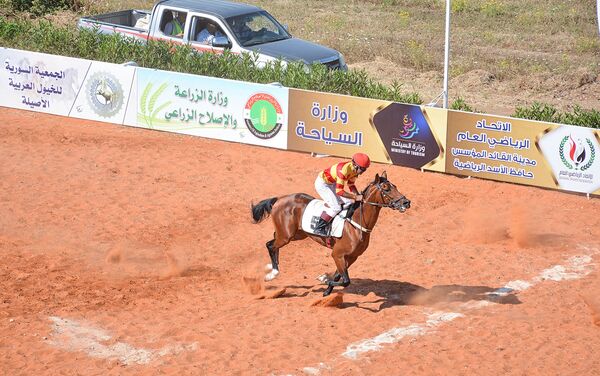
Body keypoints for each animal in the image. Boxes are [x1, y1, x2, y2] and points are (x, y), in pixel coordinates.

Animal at [251, 170, 410, 296]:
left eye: (395, 186)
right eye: (386, 189)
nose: (406, 202)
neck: (356, 224)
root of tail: (279, 199)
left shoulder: (352, 257)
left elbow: (339, 276)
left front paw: (327, 289)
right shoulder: (337, 254)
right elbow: (345, 280)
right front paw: (323, 279)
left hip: (297, 234)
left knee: (272, 242)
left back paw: (271, 267)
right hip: (286, 236)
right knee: (271, 245)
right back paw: (273, 273)